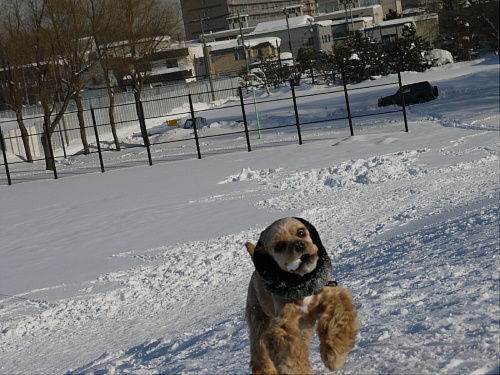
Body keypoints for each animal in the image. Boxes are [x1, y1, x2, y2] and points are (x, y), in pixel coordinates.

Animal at [243, 217, 358, 375]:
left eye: (301, 232)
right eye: (279, 246)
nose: (299, 244)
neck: (303, 283)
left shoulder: (333, 296)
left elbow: (337, 320)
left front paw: (334, 356)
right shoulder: (284, 322)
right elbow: (289, 350)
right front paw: (295, 369)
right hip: (258, 316)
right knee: (257, 345)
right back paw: (264, 370)